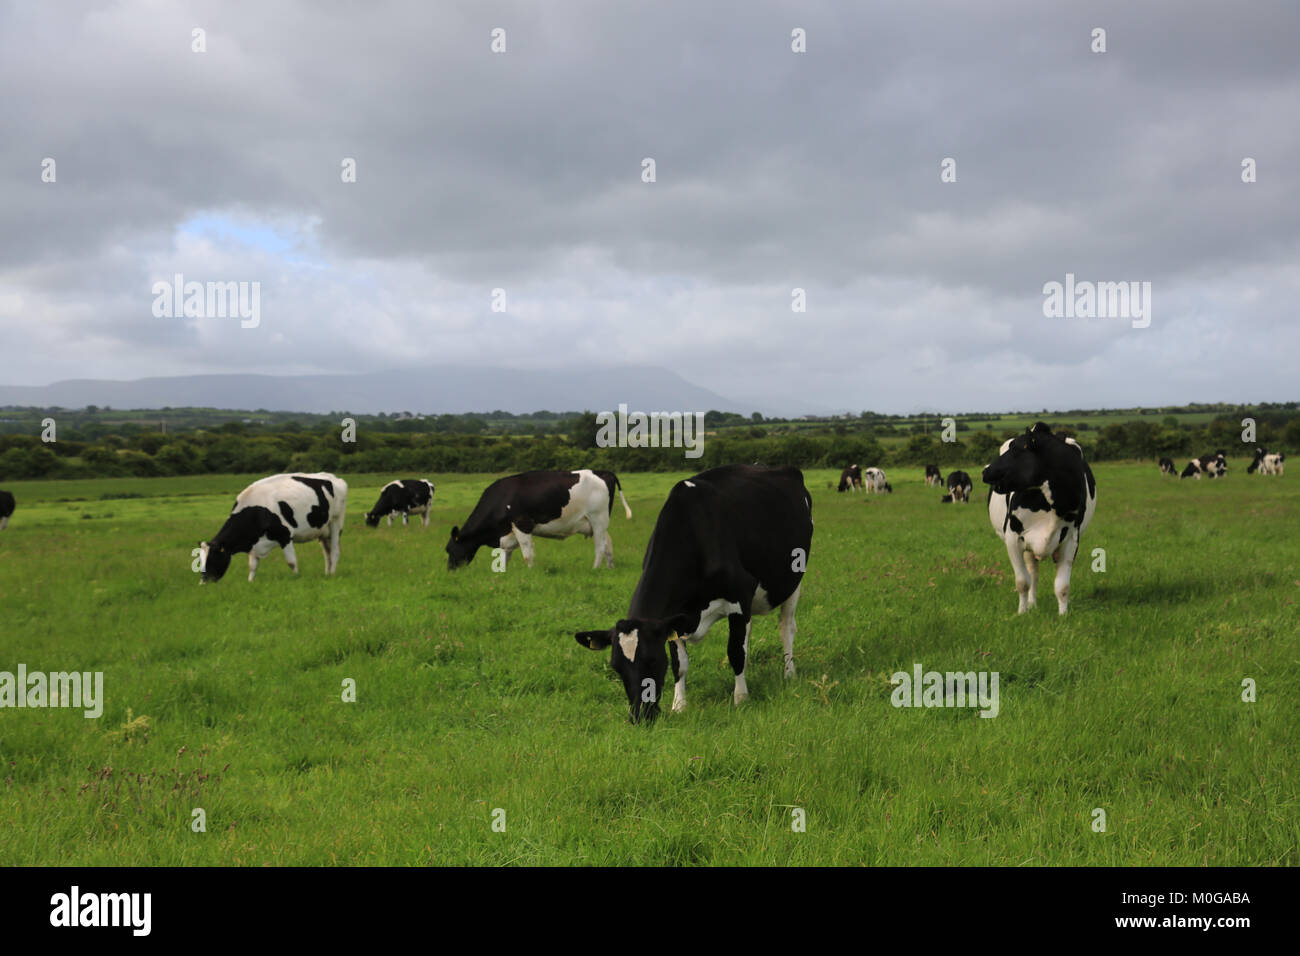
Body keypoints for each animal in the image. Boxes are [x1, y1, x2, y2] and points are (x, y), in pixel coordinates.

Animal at [199, 473, 347, 583]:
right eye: (200, 560)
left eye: (213, 558)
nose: (203, 582)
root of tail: (335, 478)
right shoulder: (254, 541)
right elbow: (252, 566)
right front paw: (250, 582)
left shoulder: (285, 535)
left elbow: (291, 562)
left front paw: (296, 577)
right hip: (323, 530)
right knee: (327, 552)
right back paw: (327, 574)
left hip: (336, 522)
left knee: (335, 550)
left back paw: (332, 574)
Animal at [446, 469, 619, 570]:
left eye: (449, 549)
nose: (450, 571)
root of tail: (603, 472)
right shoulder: (507, 532)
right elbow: (505, 554)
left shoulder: (522, 524)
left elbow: (527, 553)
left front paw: (530, 572)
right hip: (595, 523)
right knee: (608, 543)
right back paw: (610, 568)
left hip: (598, 518)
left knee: (600, 546)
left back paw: (594, 569)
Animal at [575, 464, 812, 722]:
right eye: (616, 667)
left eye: (652, 659)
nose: (639, 715)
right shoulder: (674, 616)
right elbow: (681, 664)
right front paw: (679, 705)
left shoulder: (739, 596)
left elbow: (734, 651)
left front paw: (741, 699)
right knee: (748, 633)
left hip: (794, 580)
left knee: (786, 627)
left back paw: (789, 673)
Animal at [982, 423, 1097, 615]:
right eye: (1011, 446)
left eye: (1017, 449)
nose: (985, 470)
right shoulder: (1012, 538)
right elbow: (1022, 581)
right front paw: (1022, 613)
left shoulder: (1072, 540)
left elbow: (1062, 586)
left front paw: (1063, 615)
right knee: (1033, 574)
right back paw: (1031, 604)